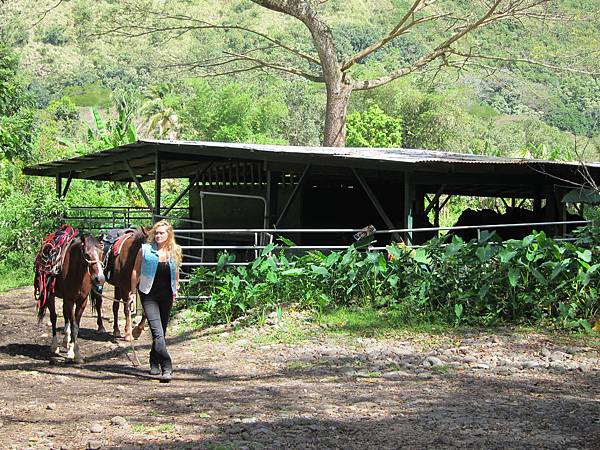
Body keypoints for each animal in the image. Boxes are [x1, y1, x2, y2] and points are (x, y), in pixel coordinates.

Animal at [37, 234, 105, 364]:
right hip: (51, 296)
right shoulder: (69, 300)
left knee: (65, 316)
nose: (100, 278)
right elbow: (73, 325)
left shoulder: (82, 301)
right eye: (86, 254)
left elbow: (76, 325)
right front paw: (75, 353)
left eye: (101, 252)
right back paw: (55, 346)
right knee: (54, 317)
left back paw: (66, 341)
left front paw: (72, 350)